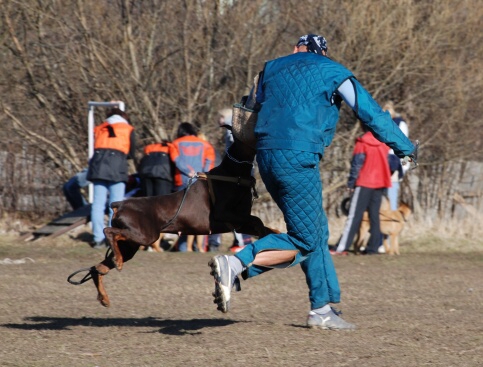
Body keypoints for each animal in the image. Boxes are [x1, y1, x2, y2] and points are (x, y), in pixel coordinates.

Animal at [69, 137, 278, 308]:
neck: (233, 174)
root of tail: (119, 203)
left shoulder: (239, 221)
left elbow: (262, 225)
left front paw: (273, 237)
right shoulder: (227, 215)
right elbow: (257, 220)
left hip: (131, 244)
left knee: (97, 268)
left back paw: (105, 295)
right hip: (145, 235)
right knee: (108, 231)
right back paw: (117, 260)